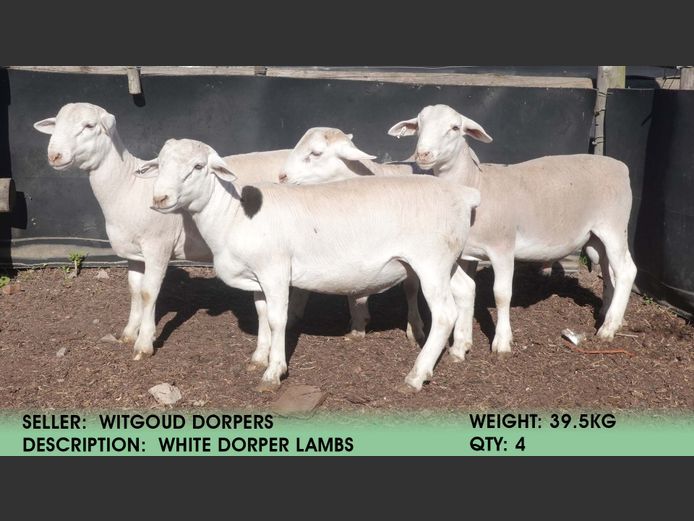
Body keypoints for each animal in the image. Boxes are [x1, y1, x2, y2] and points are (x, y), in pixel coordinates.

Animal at [33, 102, 293, 360]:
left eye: (89, 126)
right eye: (57, 123)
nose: (54, 155)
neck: (127, 187)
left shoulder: (158, 245)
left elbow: (149, 292)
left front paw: (144, 343)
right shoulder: (133, 253)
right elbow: (134, 289)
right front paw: (129, 332)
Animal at [388, 104, 637, 358]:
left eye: (455, 127)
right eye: (419, 125)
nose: (423, 154)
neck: (476, 184)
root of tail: (620, 166)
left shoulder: (502, 247)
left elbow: (501, 294)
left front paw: (502, 342)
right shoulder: (468, 253)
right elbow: (466, 292)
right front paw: (462, 343)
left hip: (614, 226)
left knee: (626, 270)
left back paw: (608, 328)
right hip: (596, 237)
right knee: (608, 270)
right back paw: (609, 315)